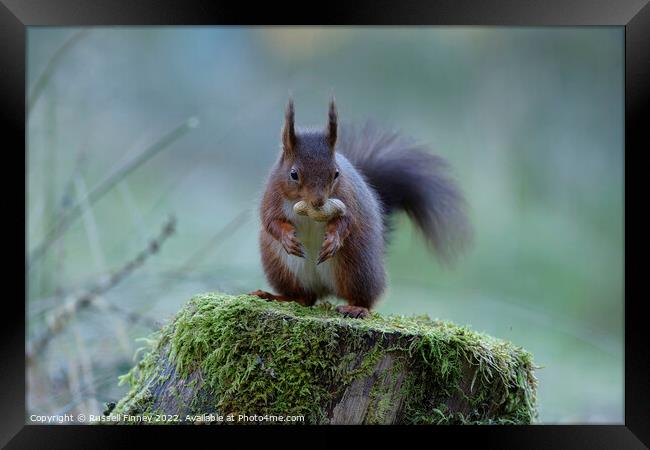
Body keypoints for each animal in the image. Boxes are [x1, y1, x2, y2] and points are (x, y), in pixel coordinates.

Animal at [251, 99, 468, 316]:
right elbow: (270, 221)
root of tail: (324, 288)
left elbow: (347, 221)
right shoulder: (272, 196)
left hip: (357, 267)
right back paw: (274, 296)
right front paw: (287, 238)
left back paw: (356, 308)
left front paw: (334, 239)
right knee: (303, 298)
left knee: (363, 297)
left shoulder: (348, 198)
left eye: (336, 173)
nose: (318, 202)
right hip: (281, 268)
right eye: (293, 174)